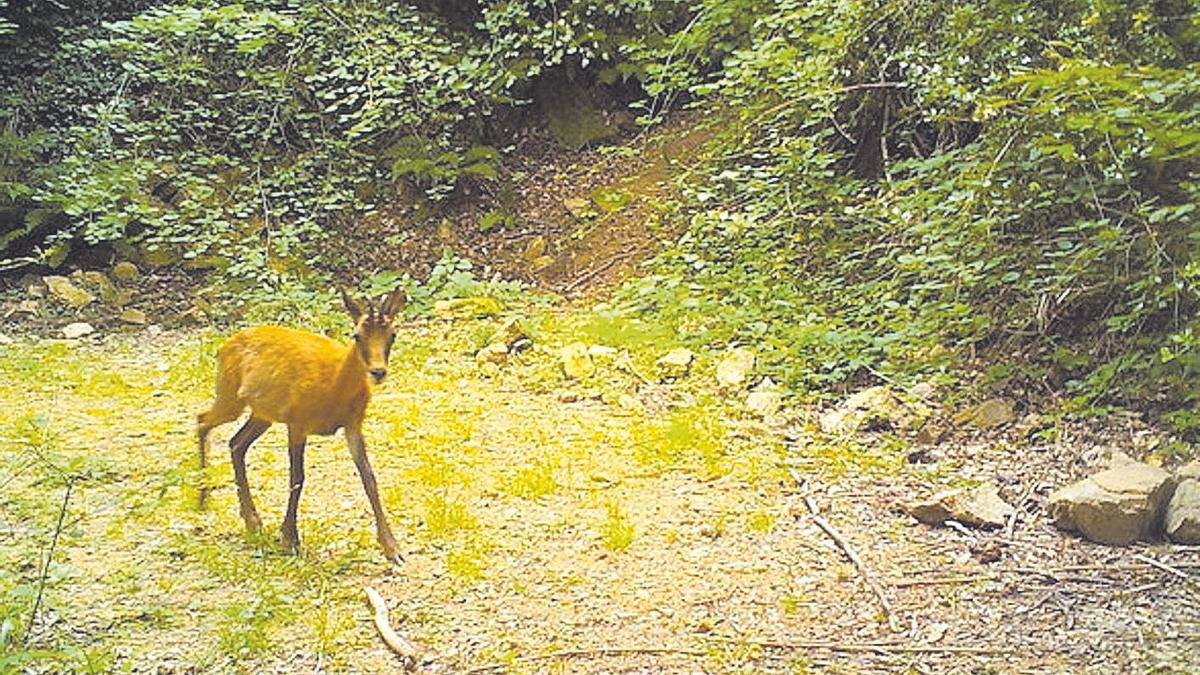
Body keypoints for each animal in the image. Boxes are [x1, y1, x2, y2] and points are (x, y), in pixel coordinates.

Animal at [194, 283, 405, 562]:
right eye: (357, 335)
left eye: (392, 335)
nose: (378, 372)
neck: (334, 384)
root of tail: (224, 346)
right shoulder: (297, 421)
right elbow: (297, 477)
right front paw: (290, 539)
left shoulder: (353, 424)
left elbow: (369, 477)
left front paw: (392, 548)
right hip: (229, 394)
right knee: (203, 421)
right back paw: (203, 502)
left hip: (262, 414)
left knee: (235, 443)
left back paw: (252, 521)